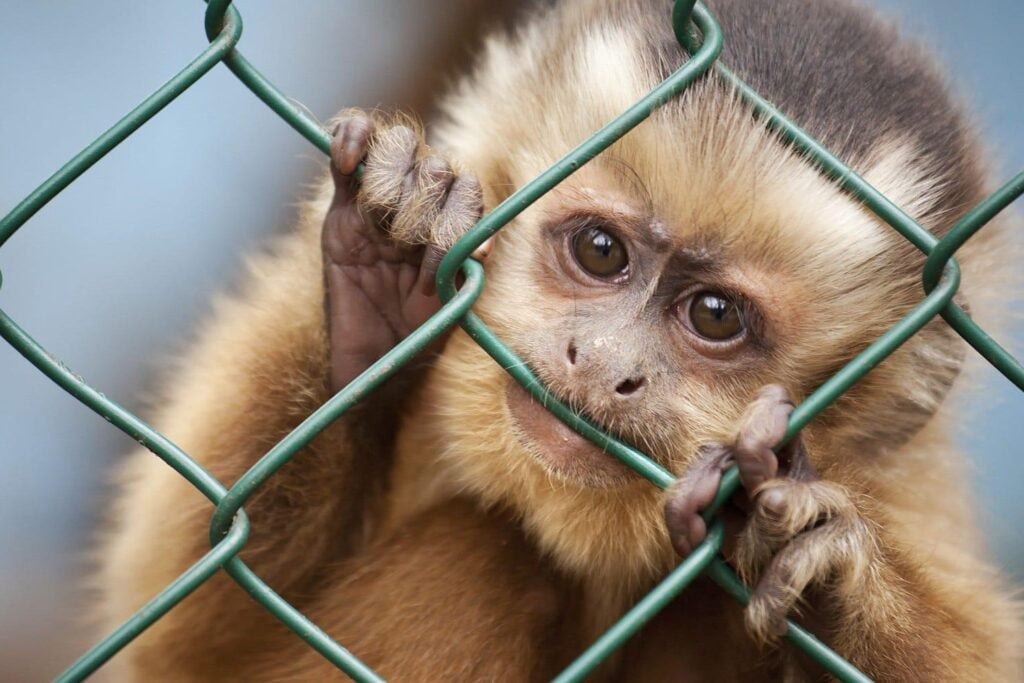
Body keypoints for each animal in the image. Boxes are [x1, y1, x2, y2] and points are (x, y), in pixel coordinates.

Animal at [96, 0, 1023, 680]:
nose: (607, 365)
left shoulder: (904, 483)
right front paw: (375, 291)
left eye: (715, 316)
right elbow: (186, 636)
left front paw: (827, 563)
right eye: (601, 251)